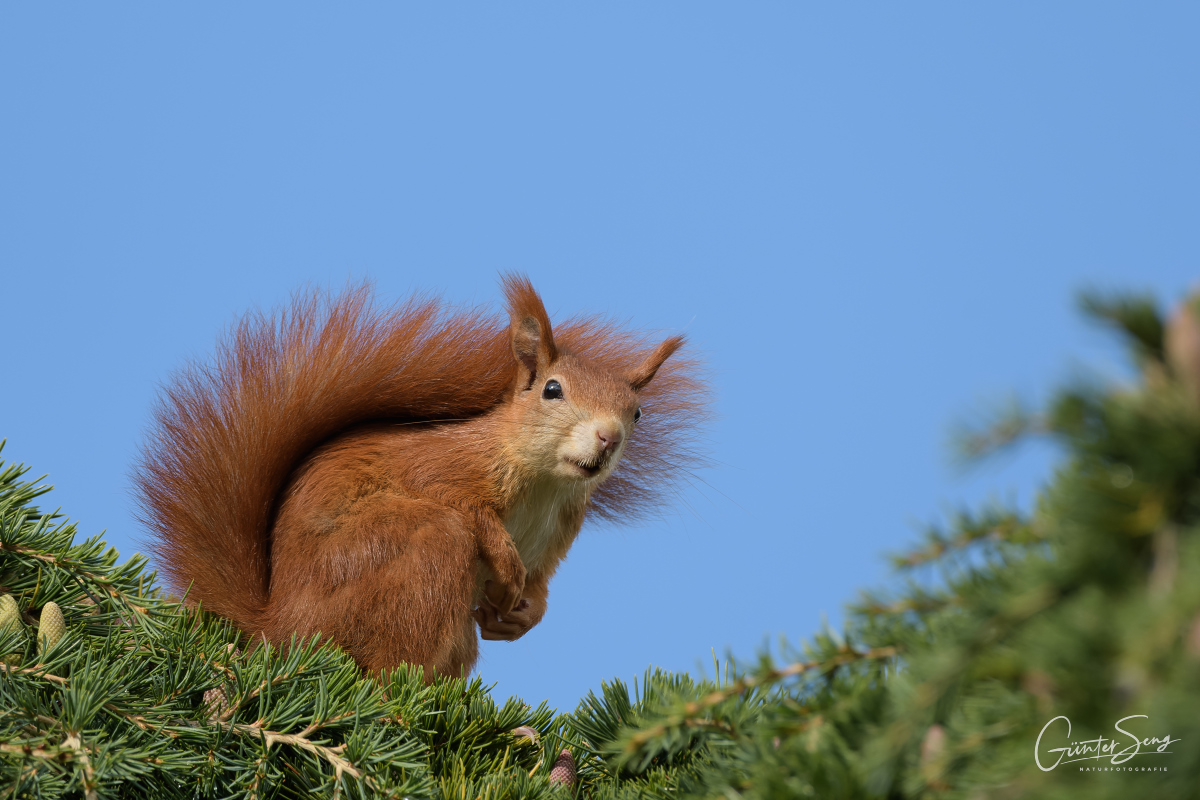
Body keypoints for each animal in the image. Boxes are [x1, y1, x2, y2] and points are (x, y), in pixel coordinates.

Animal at [133, 275, 700, 676]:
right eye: (552, 390)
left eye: (637, 413)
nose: (608, 437)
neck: (544, 484)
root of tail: (278, 628)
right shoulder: (443, 467)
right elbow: (464, 506)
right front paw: (506, 565)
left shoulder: (560, 530)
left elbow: (540, 583)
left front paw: (522, 615)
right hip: (402, 553)